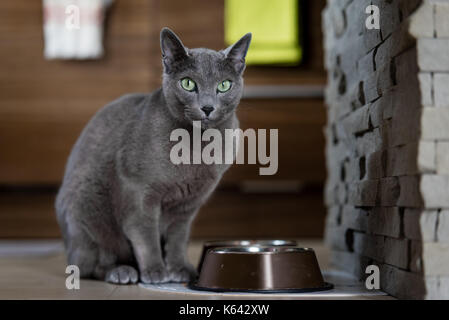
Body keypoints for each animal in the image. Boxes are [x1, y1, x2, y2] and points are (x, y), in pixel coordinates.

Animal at [54, 26, 250, 282]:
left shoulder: (187, 206)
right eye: (188, 84)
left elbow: (178, 239)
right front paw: (156, 271)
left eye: (224, 85)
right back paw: (122, 271)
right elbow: (146, 235)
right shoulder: (138, 191)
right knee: (90, 265)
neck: (196, 149)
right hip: (84, 207)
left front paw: (179, 269)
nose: (207, 107)